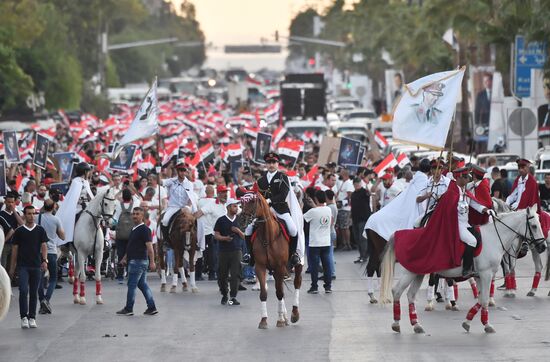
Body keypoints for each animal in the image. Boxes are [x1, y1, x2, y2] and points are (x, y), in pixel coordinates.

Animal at [242, 191, 304, 330]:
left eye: (252, 201)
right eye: (242, 202)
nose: (243, 219)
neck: (268, 237)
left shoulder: (280, 267)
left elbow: (279, 293)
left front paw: (280, 320)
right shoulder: (260, 267)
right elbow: (264, 294)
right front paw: (264, 320)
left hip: (297, 265)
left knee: (297, 284)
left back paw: (294, 314)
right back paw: (285, 316)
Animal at [382, 206, 544, 334]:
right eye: (534, 226)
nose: (543, 247)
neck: (494, 238)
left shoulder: (479, 276)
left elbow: (480, 298)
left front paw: (468, 321)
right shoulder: (486, 274)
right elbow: (484, 299)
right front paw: (486, 325)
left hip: (418, 273)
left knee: (410, 295)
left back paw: (416, 325)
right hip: (410, 272)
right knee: (397, 291)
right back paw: (396, 323)